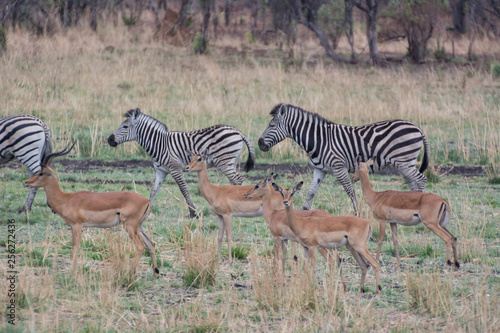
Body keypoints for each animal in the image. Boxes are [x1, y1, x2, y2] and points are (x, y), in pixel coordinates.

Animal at [105, 107, 254, 218]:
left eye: (125, 126)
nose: (109, 140)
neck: (159, 145)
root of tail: (237, 131)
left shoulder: (175, 168)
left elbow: (184, 189)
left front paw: (193, 212)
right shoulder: (161, 171)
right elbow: (154, 190)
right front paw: (146, 211)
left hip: (224, 162)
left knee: (237, 180)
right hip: (231, 162)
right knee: (235, 181)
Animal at [258, 103, 430, 215]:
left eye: (272, 125)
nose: (259, 143)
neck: (319, 140)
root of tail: (417, 127)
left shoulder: (339, 167)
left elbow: (350, 191)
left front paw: (357, 213)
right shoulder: (319, 169)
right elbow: (311, 192)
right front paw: (303, 212)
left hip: (403, 161)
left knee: (420, 179)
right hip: (405, 163)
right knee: (413, 182)